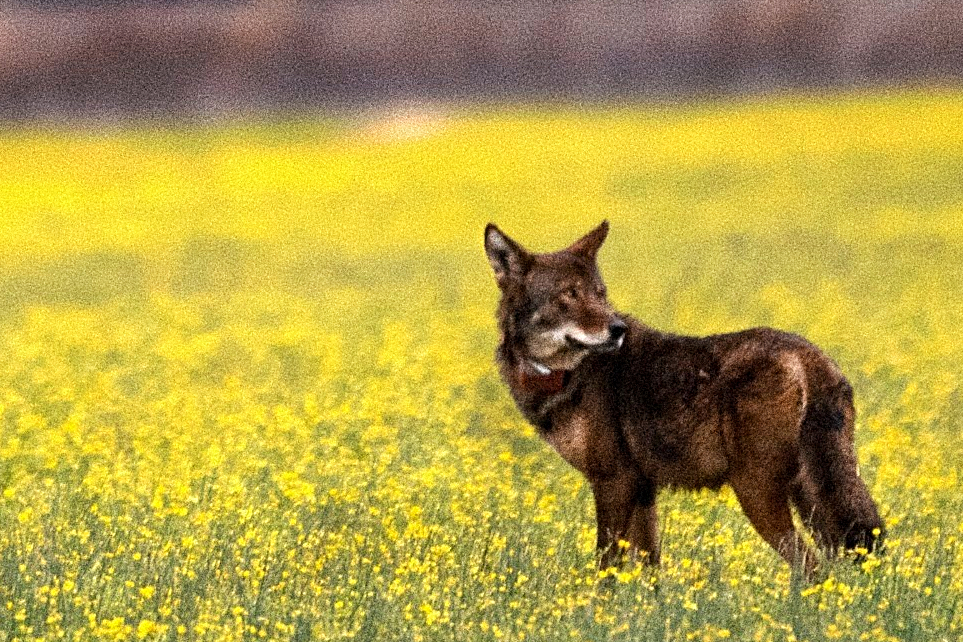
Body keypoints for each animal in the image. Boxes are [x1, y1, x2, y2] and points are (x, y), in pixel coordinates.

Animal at [486, 219, 884, 568]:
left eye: (600, 295)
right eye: (568, 295)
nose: (617, 329)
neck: (567, 375)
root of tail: (810, 355)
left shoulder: (613, 483)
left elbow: (605, 571)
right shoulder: (643, 490)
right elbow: (649, 573)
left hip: (758, 493)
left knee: (810, 568)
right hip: (812, 500)